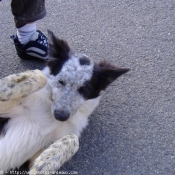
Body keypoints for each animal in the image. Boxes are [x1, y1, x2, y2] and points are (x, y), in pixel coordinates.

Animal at [0, 30, 129, 171]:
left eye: (84, 89)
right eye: (61, 81)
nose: (60, 116)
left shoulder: (41, 150)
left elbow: (74, 139)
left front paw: (45, 163)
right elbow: (41, 77)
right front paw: (3, 85)